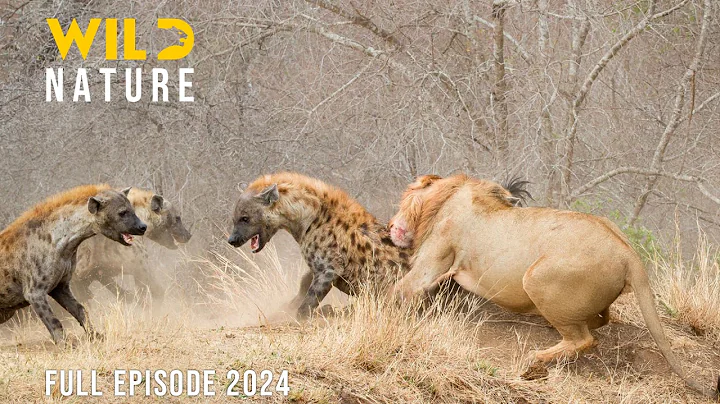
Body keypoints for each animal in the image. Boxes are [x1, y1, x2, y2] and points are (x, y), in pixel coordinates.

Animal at [388, 174, 718, 398]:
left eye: (404, 197)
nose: (391, 225)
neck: (450, 194)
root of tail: (629, 254)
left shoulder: (432, 262)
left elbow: (398, 291)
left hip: (536, 278)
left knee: (584, 340)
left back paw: (535, 360)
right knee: (602, 319)